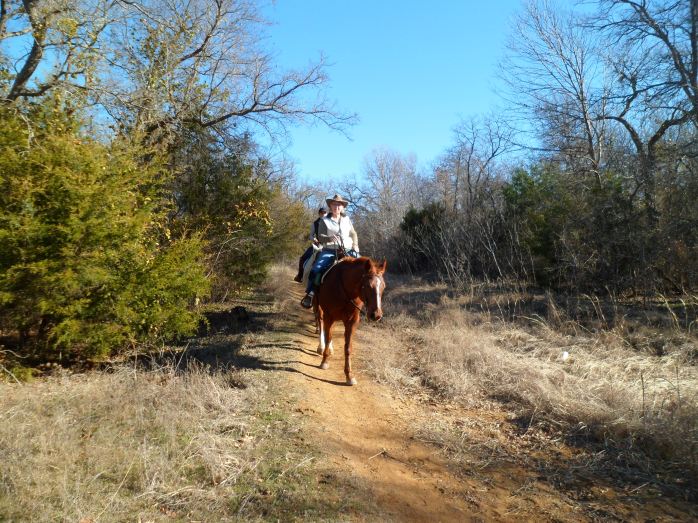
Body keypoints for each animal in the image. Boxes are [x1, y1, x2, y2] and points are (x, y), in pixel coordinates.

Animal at [312, 256, 387, 385]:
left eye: (383, 286)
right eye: (367, 285)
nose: (376, 315)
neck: (345, 290)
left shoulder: (352, 321)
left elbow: (348, 347)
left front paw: (349, 375)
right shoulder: (329, 316)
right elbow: (328, 337)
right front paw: (324, 361)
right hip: (318, 306)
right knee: (320, 322)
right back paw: (321, 347)